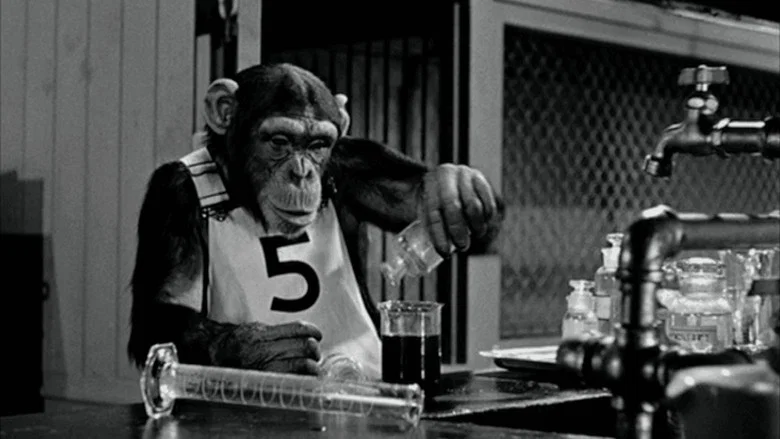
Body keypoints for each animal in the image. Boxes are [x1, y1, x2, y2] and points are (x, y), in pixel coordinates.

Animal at [127, 63, 503, 379]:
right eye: (279, 140)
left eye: (319, 144)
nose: (302, 173)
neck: (241, 196)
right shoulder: (171, 197)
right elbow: (163, 307)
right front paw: (260, 348)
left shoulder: (357, 160)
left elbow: (417, 196)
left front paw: (452, 189)